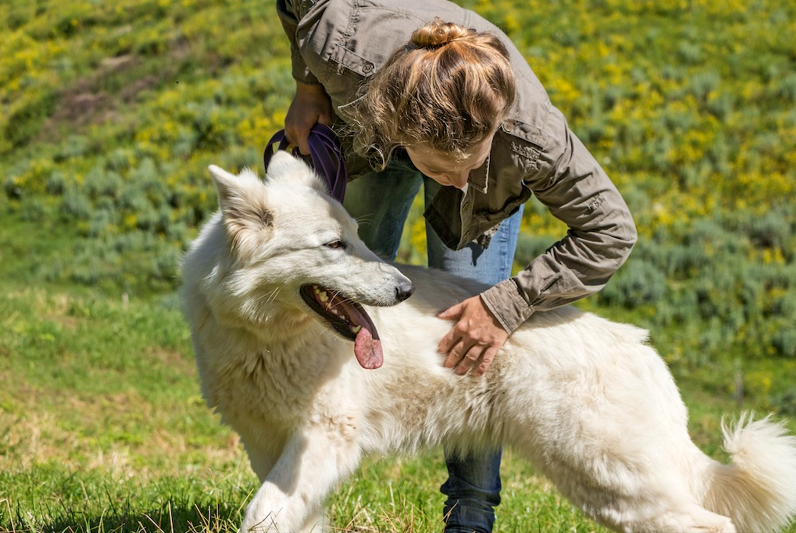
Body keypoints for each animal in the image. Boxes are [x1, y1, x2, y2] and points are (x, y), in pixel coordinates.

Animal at [182, 151, 796, 532]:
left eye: (356, 237)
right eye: (335, 244)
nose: (404, 290)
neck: (262, 333)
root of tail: (640, 348)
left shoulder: (323, 441)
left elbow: (259, 515)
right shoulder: (270, 445)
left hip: (612, 477)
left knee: (713, 523)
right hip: (607, 488)